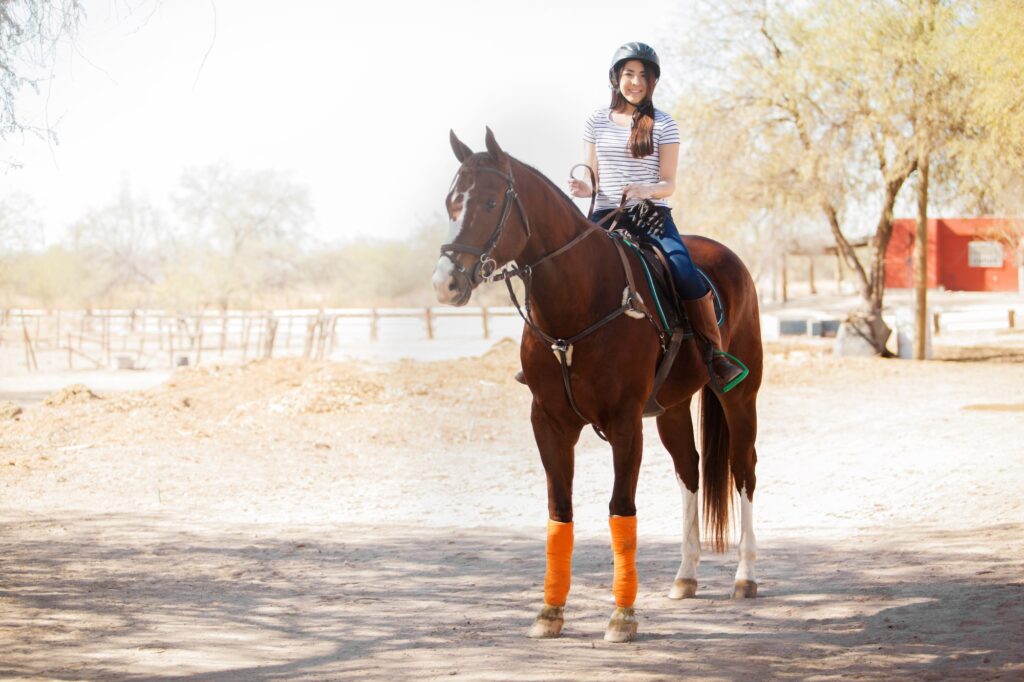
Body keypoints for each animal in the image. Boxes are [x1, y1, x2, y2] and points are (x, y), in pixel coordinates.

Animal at [430, 129, 761, 643]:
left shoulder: (625, 424)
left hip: (739, 397)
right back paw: (685, 577)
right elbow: (559, 510)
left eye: (488, 201)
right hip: (671, 408)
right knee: (690, 469)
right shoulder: (549, 422)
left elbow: (620, 508)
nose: (445, 283)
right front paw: (550, 611)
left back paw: (745, 577)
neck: (579, 301)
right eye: (450, 202)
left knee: (743, 469)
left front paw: (622, 615)